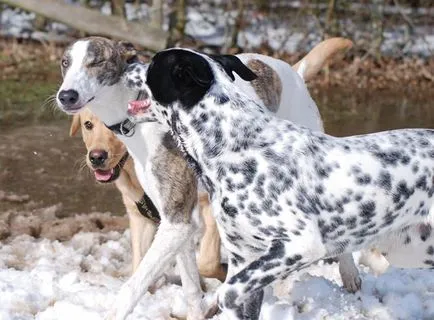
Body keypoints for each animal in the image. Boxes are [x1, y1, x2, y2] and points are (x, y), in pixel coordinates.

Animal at [126, 48, 434, 318]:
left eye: (153, 63)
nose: (128, 64)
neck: (234, 145)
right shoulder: (244, 257)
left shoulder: (299, 246)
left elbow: (227, 293)